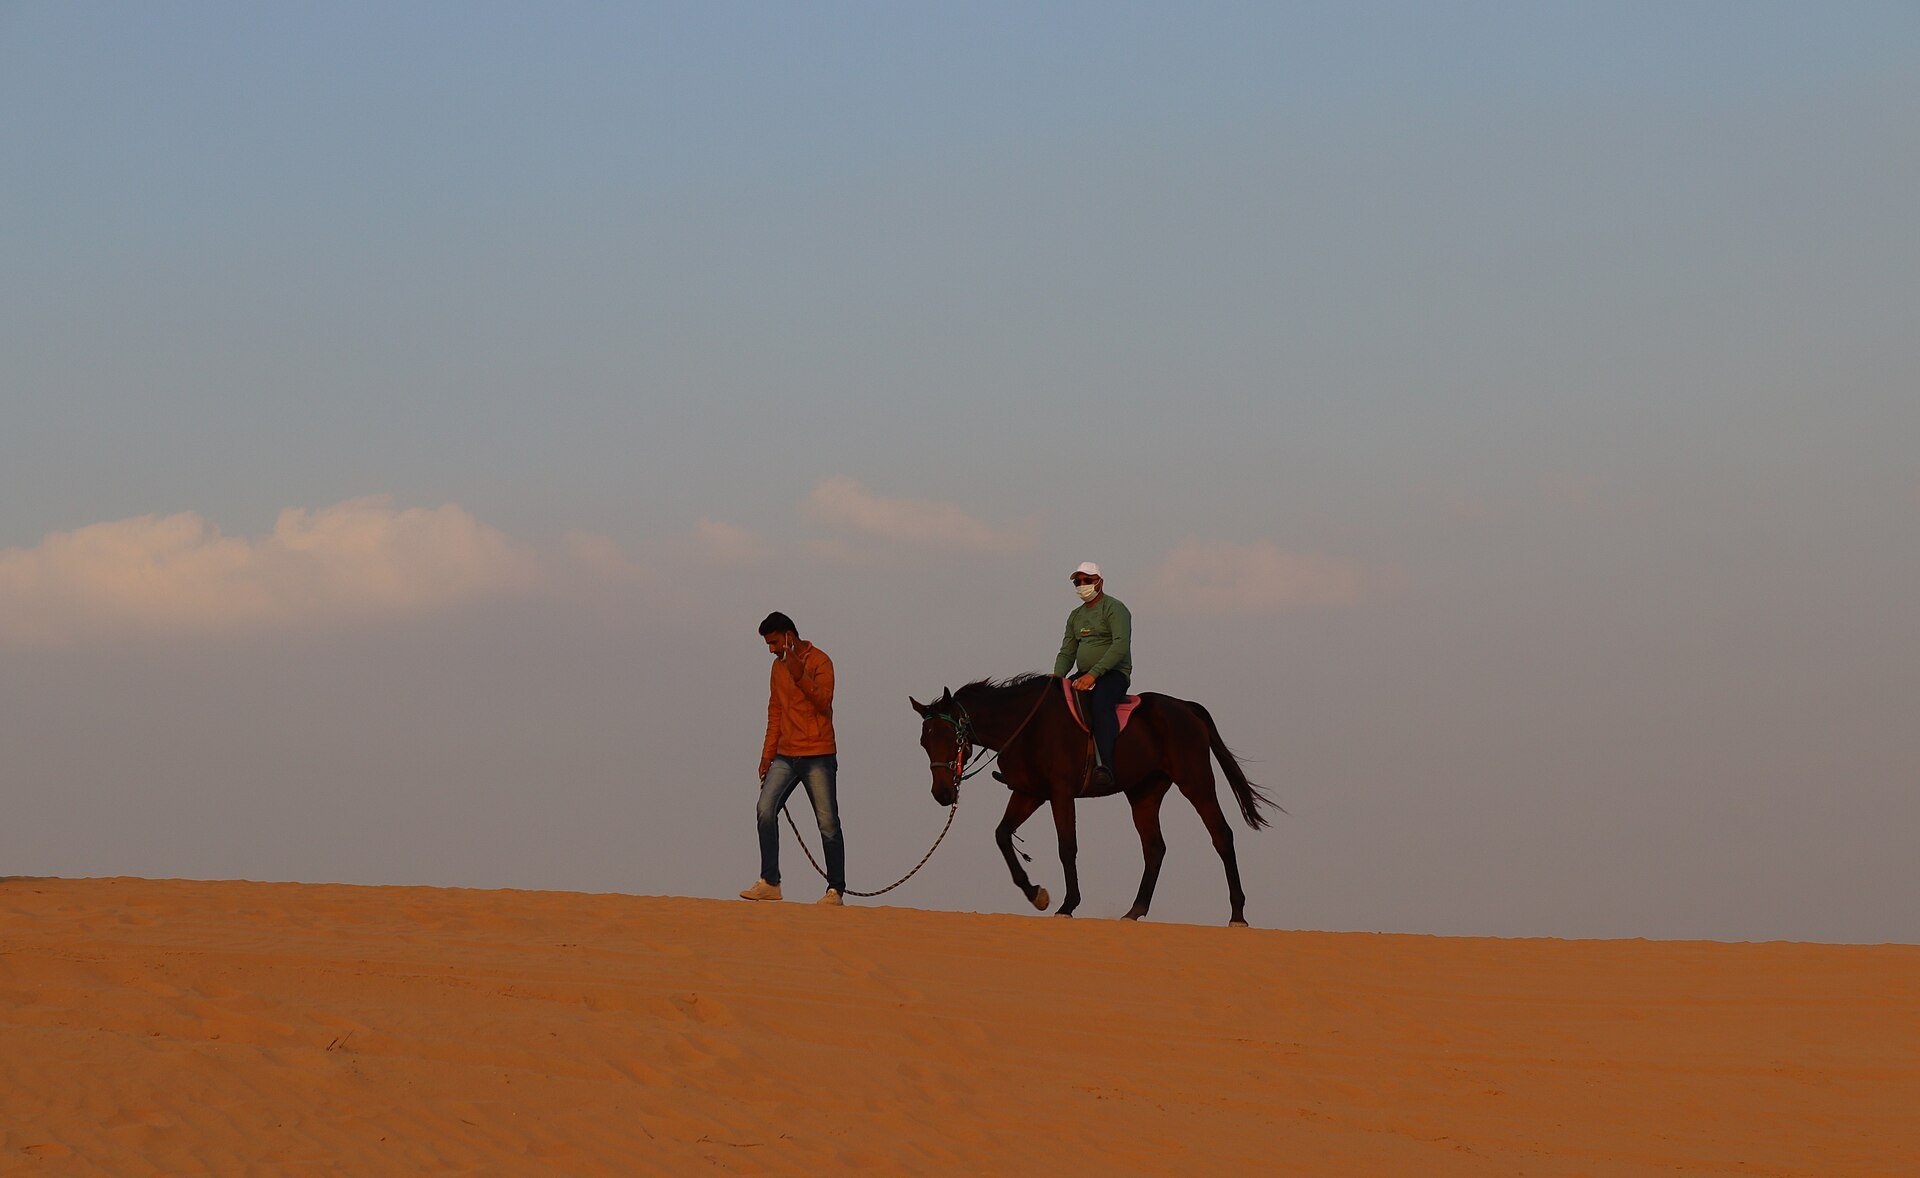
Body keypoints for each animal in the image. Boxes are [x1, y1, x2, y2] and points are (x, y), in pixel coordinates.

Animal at [910, 674, 1277, 926]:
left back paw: (1238, 914)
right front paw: (1035, 893)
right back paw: (1135, 910)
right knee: (1154, 847)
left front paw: (1067, 905)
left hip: (1196, 782)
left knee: (1221, 836)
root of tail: (1186, 708)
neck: (1027, 725)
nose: (942, 794)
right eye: (924, 742)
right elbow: (1002, 835)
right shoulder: (1030, 793)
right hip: (1144, 793)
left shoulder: (1060, 793)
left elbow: (1067, 847)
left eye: (949, 736)